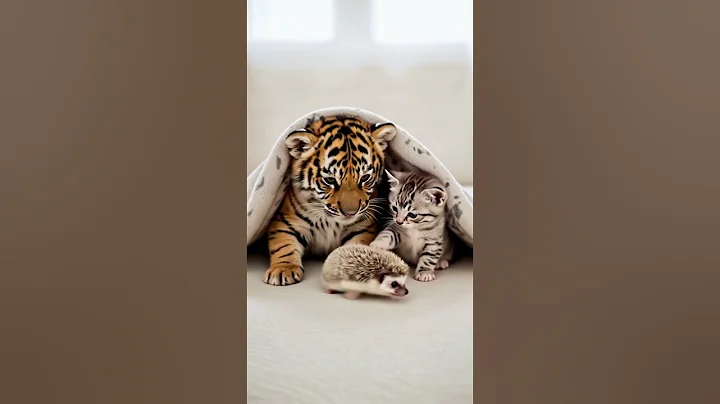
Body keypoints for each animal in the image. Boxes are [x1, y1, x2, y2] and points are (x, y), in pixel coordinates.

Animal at [263, 115, 397, 286]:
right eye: (330, 180)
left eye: (365, 178)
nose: (350, 213)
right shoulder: (284, 222)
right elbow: (283, 246)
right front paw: (283, 270)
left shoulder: (365, 228)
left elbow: (356, 247)